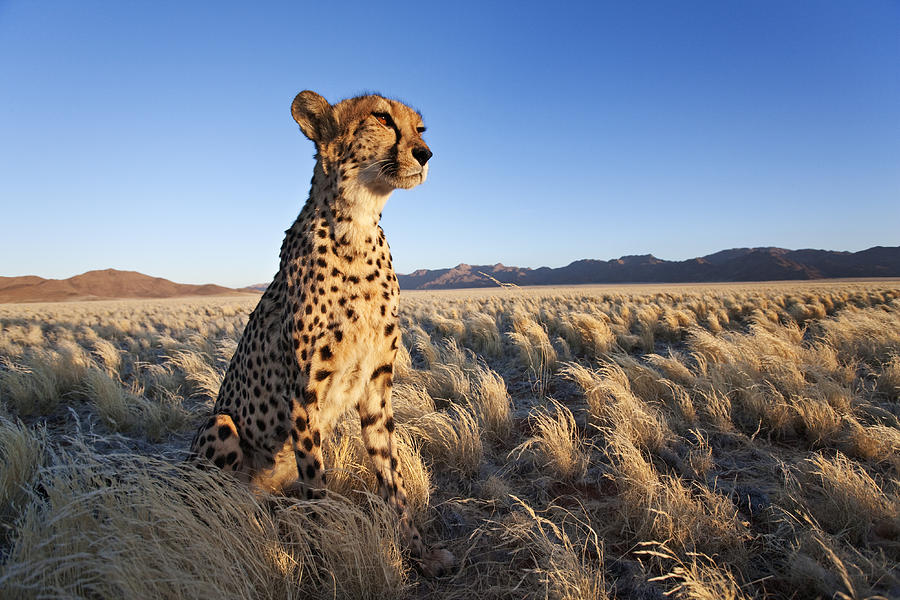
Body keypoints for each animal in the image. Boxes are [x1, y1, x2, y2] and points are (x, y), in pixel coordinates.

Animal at [192, 90, 454, 576]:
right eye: (382, 118)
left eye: (420, 129)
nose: (425, 154)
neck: (358, 224)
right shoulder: (303, 393)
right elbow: (318, 484)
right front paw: (325, 554)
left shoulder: (375, 386)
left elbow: (392, 480)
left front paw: (418, 551)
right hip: (220, 426)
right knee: (225, 502)